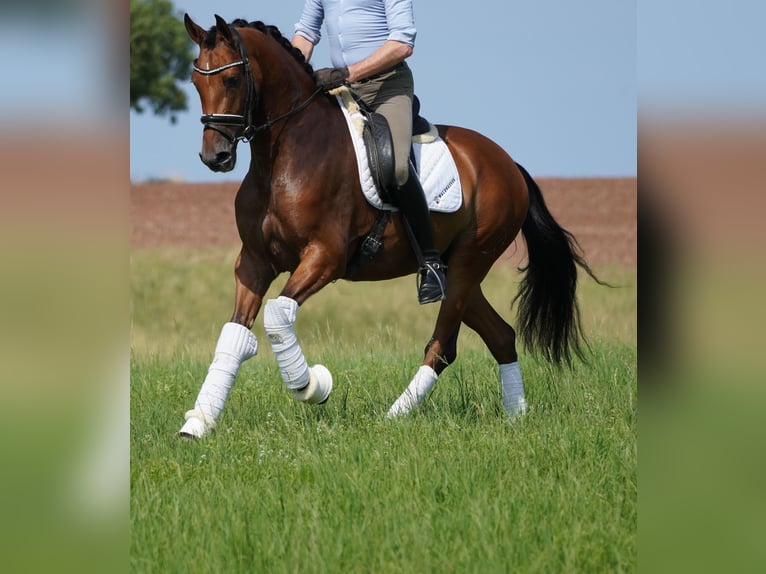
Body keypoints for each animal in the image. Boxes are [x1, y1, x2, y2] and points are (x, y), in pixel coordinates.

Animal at [178, 15, 600, 438]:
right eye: (197, 82)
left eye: (233, 80)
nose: (214, 156)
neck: (281, 159)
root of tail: (508, 163)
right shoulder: (254, 262)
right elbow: (235, 333)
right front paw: (198, 422)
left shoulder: (324, 257)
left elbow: (278, 316)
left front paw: (312, 385)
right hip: (461, 272)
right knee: (500, 336)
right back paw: (516, 417)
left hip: (470, 261)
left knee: (442, 347)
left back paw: (394, 417)